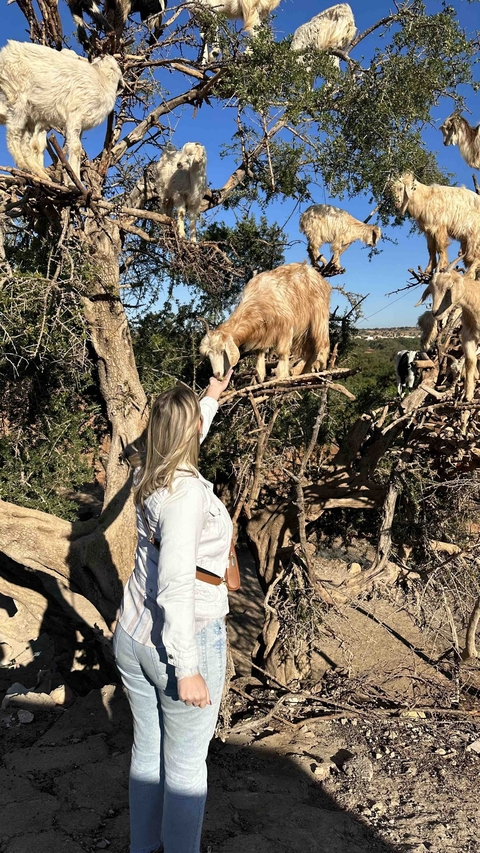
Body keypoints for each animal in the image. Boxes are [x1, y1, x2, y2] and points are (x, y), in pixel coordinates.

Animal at [0, 41, 123, 180]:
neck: (102, 79)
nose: (102, 55)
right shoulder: (75, 114)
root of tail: (6, 51)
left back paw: (39, 173)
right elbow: (76, 147)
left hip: (29, 112)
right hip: (18, 94)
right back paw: (23, 165)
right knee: (14, 132)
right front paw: (75, 180)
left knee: (26, 143)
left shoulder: (80, 124)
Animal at [199, 261, 330, 382]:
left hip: (318, 313)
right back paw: (299, 370)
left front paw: (281, 375)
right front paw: (260, 375)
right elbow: (260, 351)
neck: (256, 302)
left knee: (322, 339)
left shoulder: (285, 324)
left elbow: (282, 352)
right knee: (309, 349)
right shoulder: (263, 331)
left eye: (222, 351)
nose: (217, 375)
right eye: (208, 355)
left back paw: (319, 364)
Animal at [415, 260, 480, 401]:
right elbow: (470, 360)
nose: (435, 312)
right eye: (431, 291)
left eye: (449, 289)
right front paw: (468, 394)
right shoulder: (467, 336)